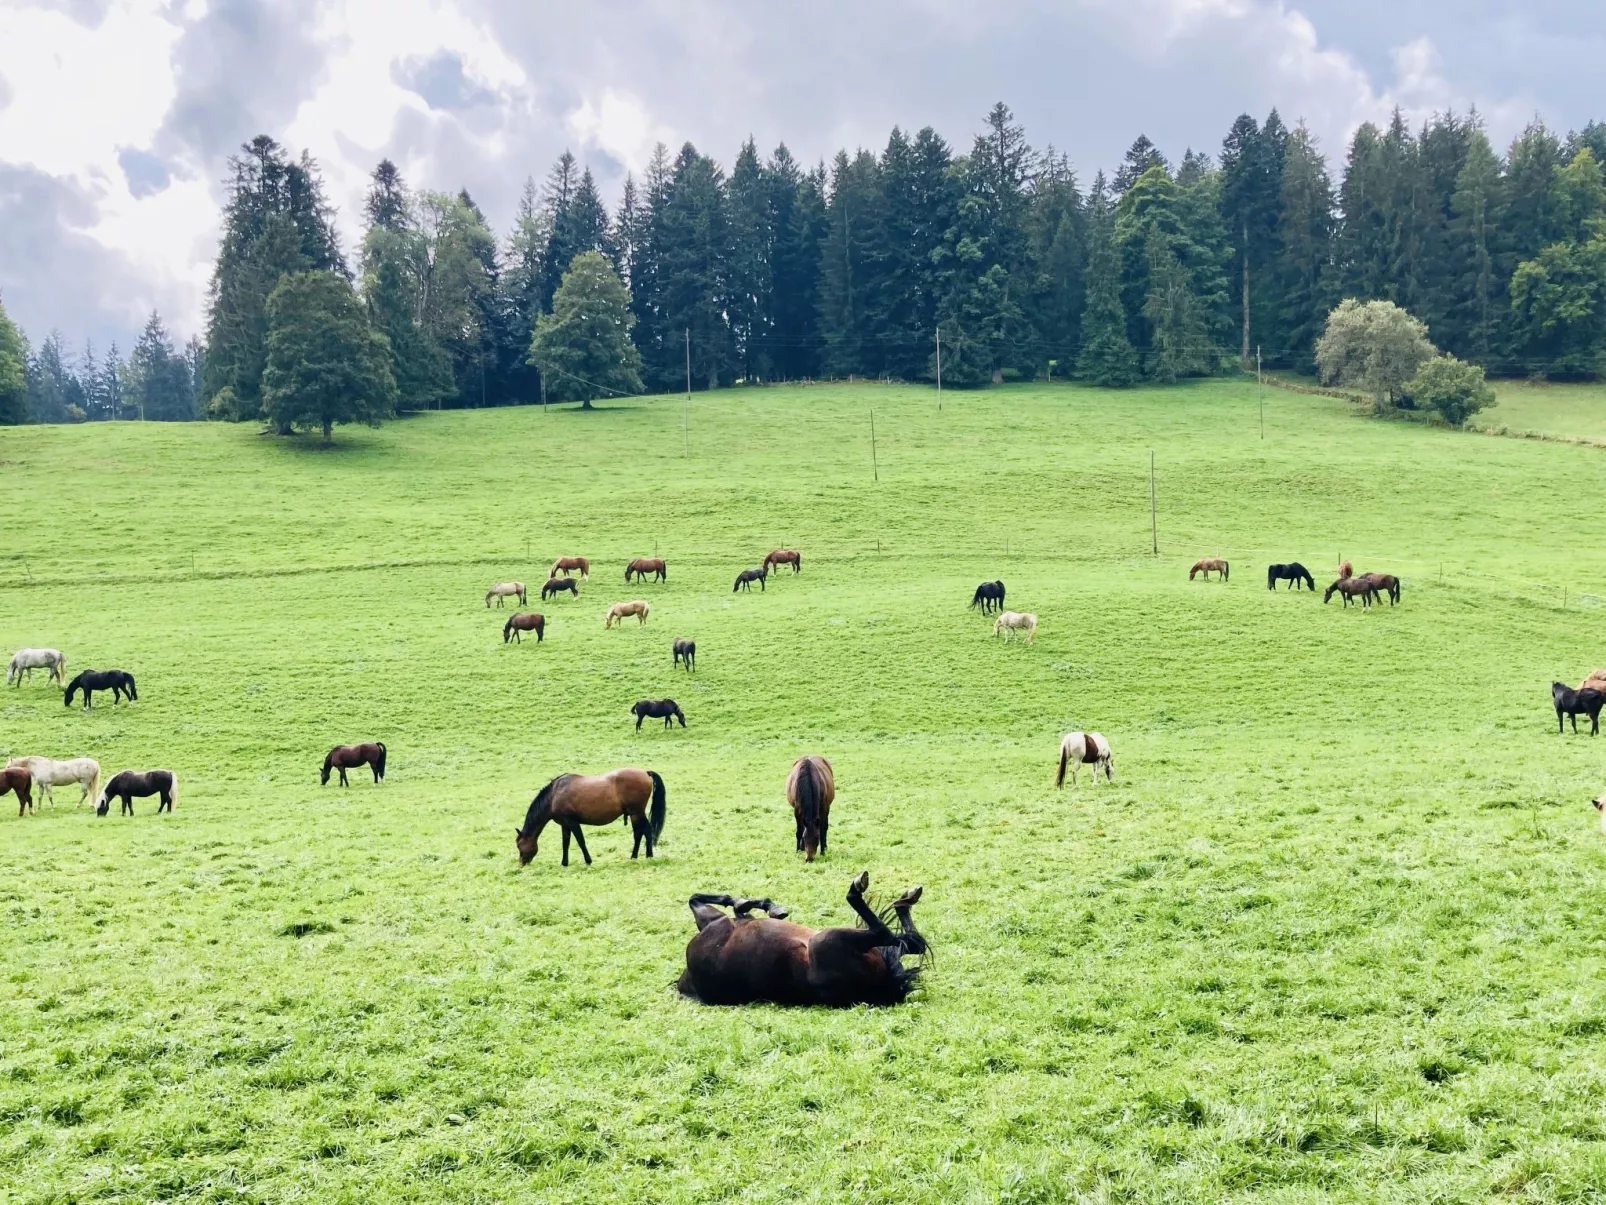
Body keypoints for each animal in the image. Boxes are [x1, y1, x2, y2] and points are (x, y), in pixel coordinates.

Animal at [513, 774, 664, 867]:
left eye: (519, 845)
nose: (521, 864)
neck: (554, 796)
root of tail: (645, 772)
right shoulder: (565, 825)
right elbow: (565, 844)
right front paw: (564, 863)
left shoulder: (573, 823)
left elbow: (581, 842)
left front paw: (588, 861)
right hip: (636, 814)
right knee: (643, 832)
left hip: (636, 813)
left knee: (643, 832)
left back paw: (644, 855)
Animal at [677, 874, 931, 1015]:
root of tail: (881, 989)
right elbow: (697, 898)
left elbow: (701, 898)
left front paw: (763, 906)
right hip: (828, 938)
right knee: (887, 934)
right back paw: (869, 891)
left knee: (911, 942)